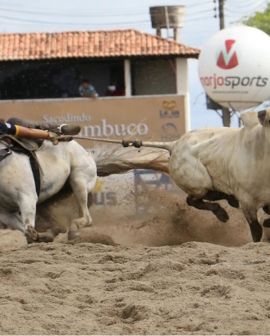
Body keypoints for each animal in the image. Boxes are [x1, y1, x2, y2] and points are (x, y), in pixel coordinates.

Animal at [125, 109, 270, 242]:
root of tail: (174, 144)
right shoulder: (247, 203)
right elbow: (256, 231)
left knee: (201, 198)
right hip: (199, 185)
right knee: (193, 200)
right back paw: (222, 213)